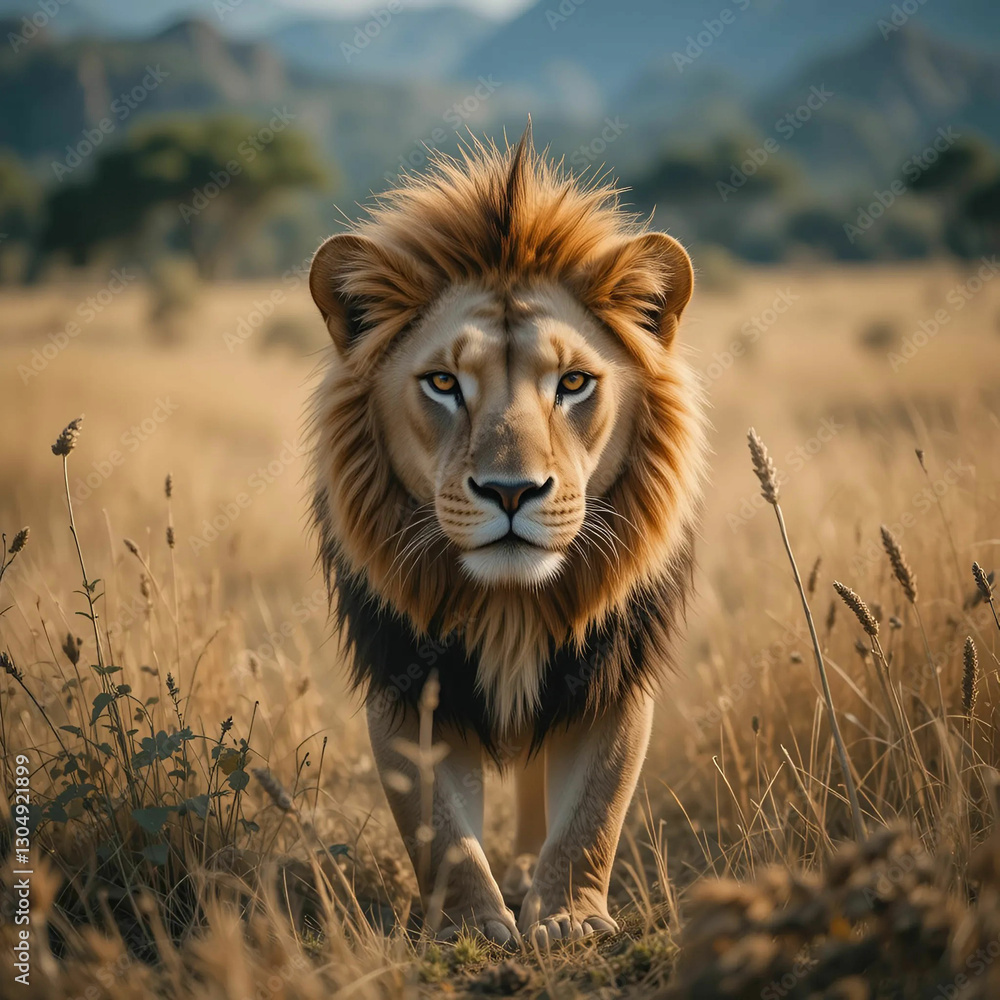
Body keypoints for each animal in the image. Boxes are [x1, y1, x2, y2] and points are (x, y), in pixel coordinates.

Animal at [308, 123, 705, 947]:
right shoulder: (406, 679)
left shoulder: (612, 673)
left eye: (575, 383)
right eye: (444, 383)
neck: (512, 605)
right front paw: (468, 927)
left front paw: (569, 917)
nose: (512, 491)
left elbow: (593, 811)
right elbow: (439, 828)